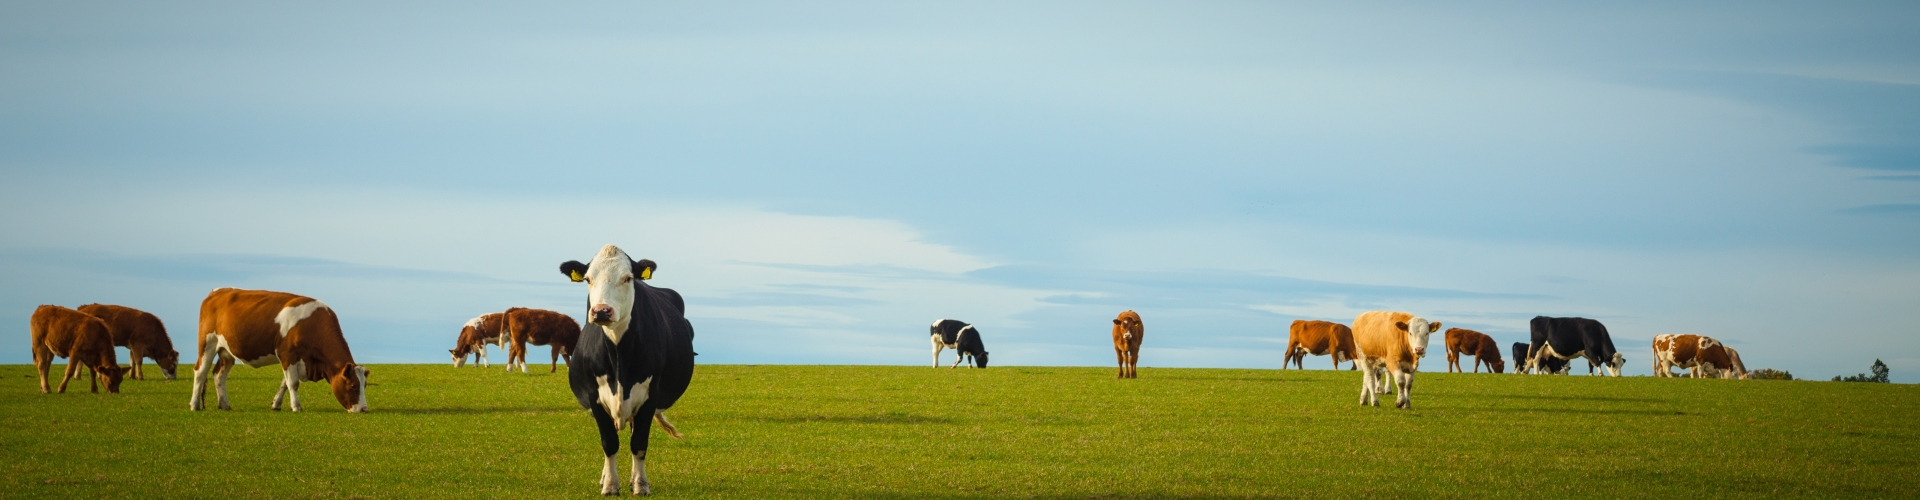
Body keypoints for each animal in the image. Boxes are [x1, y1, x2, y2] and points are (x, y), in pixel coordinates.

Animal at [188, 288, 368, 413]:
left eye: (364, 385)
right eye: (353, 385)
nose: (364, 409)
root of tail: (218, 291)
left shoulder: (292, 359)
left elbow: (285, 383)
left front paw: (276, 404)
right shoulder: (287, 354)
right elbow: (293, 383)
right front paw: (296, 407)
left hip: (226, 351)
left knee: (219, 375)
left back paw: (224, 404)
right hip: (207, 343)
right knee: (200, 372)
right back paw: (194, 405)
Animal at [559, 245, 696, 496]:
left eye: (627, 278)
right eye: (587, 279)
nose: (601, 311)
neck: (618, 355)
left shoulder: (650, 396)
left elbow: (639, 443)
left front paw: (640, 485)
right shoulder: (594, 396)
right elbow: (609, 443)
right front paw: (610, 485)